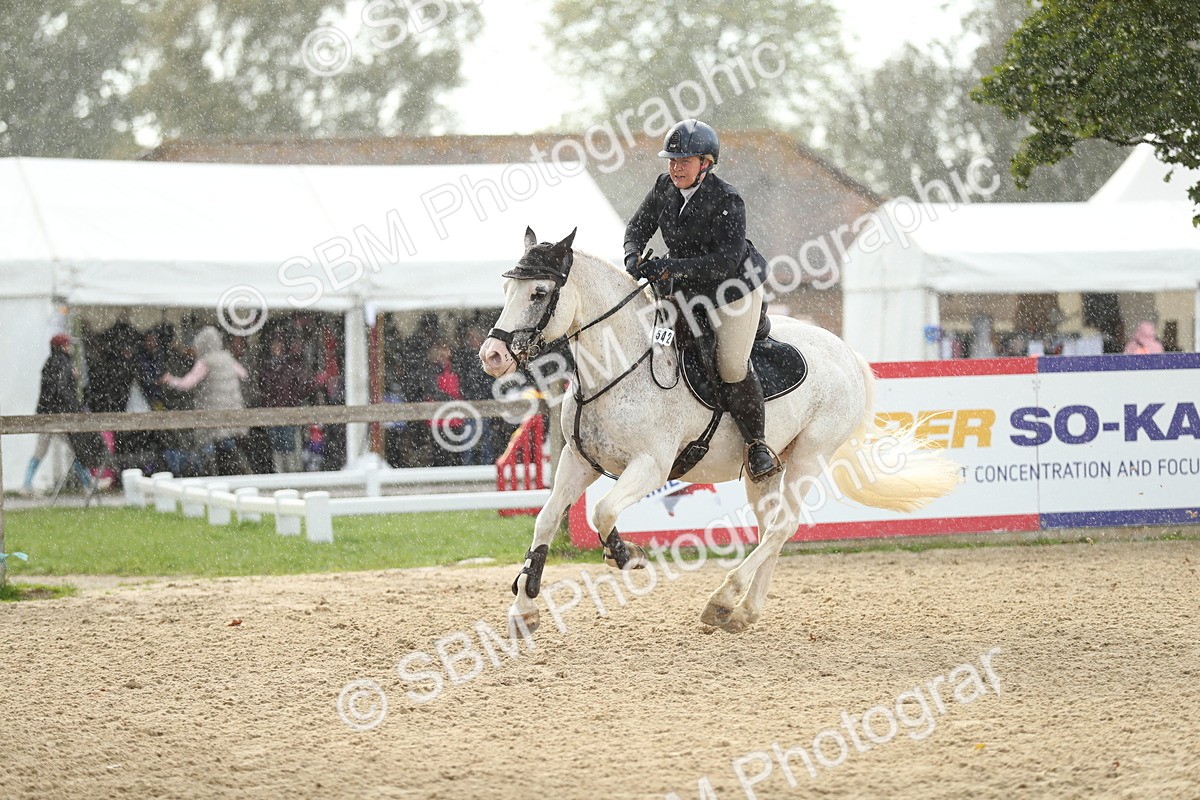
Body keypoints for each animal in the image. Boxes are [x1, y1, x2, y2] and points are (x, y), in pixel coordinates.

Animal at [479, 228, 958, 634]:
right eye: (506, 290)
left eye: (539, 292)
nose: (492, 356)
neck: (618, 365)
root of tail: (848, 353)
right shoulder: (579, 461)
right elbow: (547, 520)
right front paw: (524, 607)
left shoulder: (651, 466)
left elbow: (604, 511)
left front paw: (627, 556)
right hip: (767, 469)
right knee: (772, 527)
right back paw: (743, 611)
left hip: (811, 454)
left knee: (783, 525)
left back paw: (724, 598)